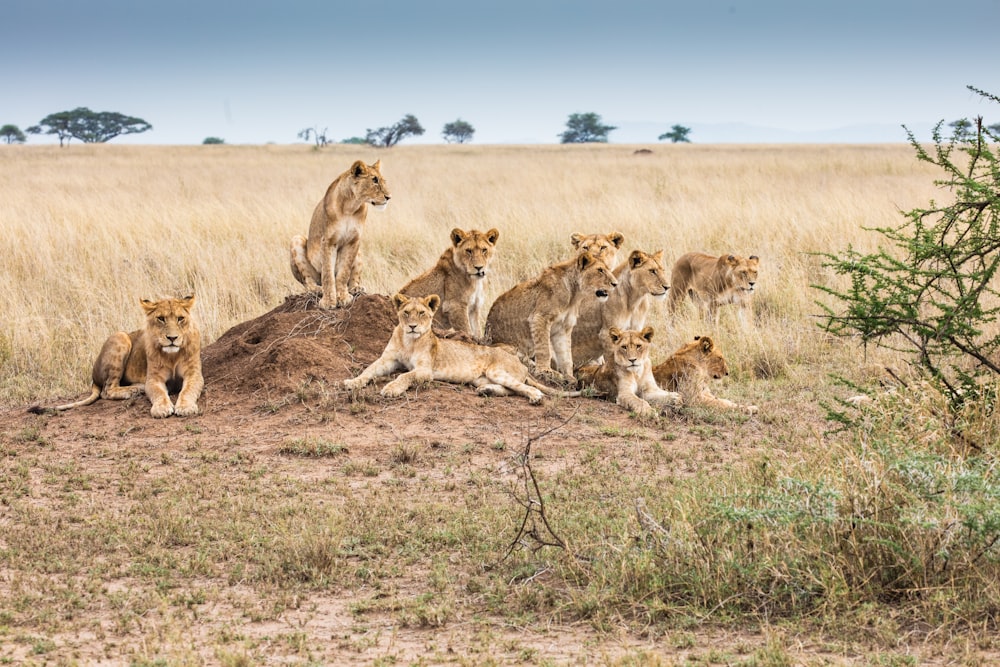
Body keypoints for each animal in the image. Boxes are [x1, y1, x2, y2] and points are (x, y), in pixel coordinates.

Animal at [34, 296, 204, 418]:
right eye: (161, 318)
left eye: (180, 318)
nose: (172, 338)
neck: (172, 356)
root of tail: (93, 377)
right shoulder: (153, 378)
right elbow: (159, 393)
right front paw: (161, 409)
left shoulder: (194, 374)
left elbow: (188, 390)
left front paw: (186, 408)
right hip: (120, 337)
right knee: (107, 390)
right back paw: (133, 390)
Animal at [290, 160, 390, 310]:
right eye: (374, 180)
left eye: (383, 180)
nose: (389, 197)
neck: (351, 206)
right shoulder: (328, 241)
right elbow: (328, 274)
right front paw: (328, 302)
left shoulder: (354, 240)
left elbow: (344, 273)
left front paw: (343, 297)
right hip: (296, 240)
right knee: (308, 281)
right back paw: (316, 289)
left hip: (359, 252)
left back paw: (356, 288)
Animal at [342, 294, 580, 404]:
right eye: (406, 313)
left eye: (422, 314)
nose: (412, 327)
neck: (409, 341)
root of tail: (520, 363)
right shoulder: (387, 360)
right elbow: (368, 371)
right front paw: (352, 382)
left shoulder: (425, 370)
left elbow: (405, 376)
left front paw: (391, 389)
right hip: (481, 378)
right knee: (511, 389)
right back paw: (487, 391)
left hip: (497, 370)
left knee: (526, 388)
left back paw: (535, 397)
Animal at [484, 250, 616, 380]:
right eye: (600, 270)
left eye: (608, 269)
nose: (615, 283)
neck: (574, 295)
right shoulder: (540, 317)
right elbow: (544, 348)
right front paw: (545, 371)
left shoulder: (563, 328)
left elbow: (566, 355)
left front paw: (569, 376)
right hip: (507, 347)